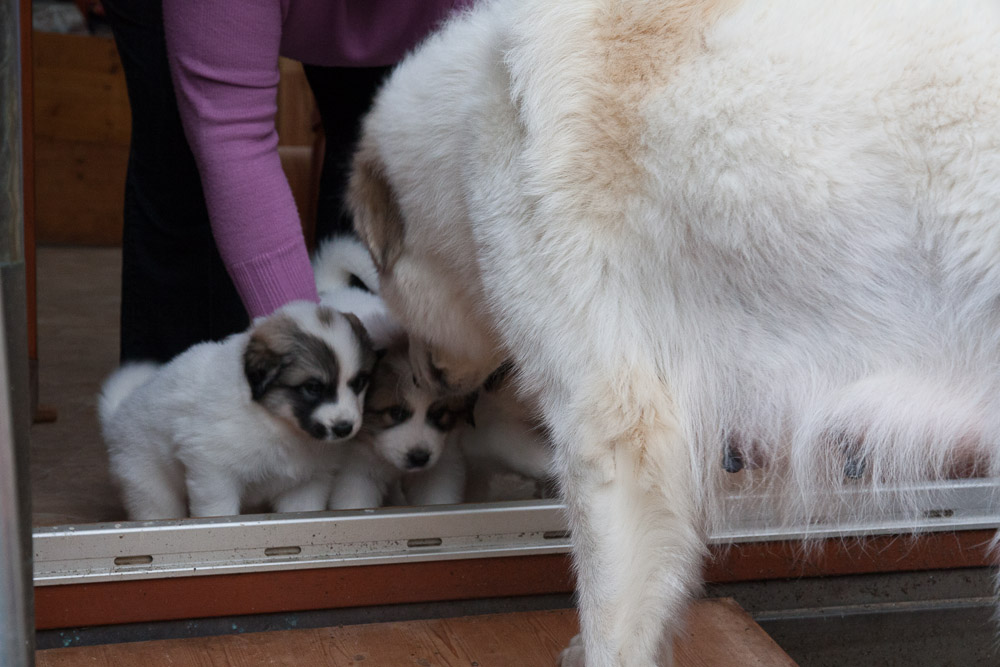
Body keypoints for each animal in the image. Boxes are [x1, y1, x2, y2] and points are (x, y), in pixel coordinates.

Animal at [99, 300, 376, 524]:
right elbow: (218, 510)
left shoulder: (307, 482)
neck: (276, 422)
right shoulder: (213, 471)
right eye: (313, 388)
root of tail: (117, 415)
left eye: (359, 383)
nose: (344, 428)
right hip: (148, 482)